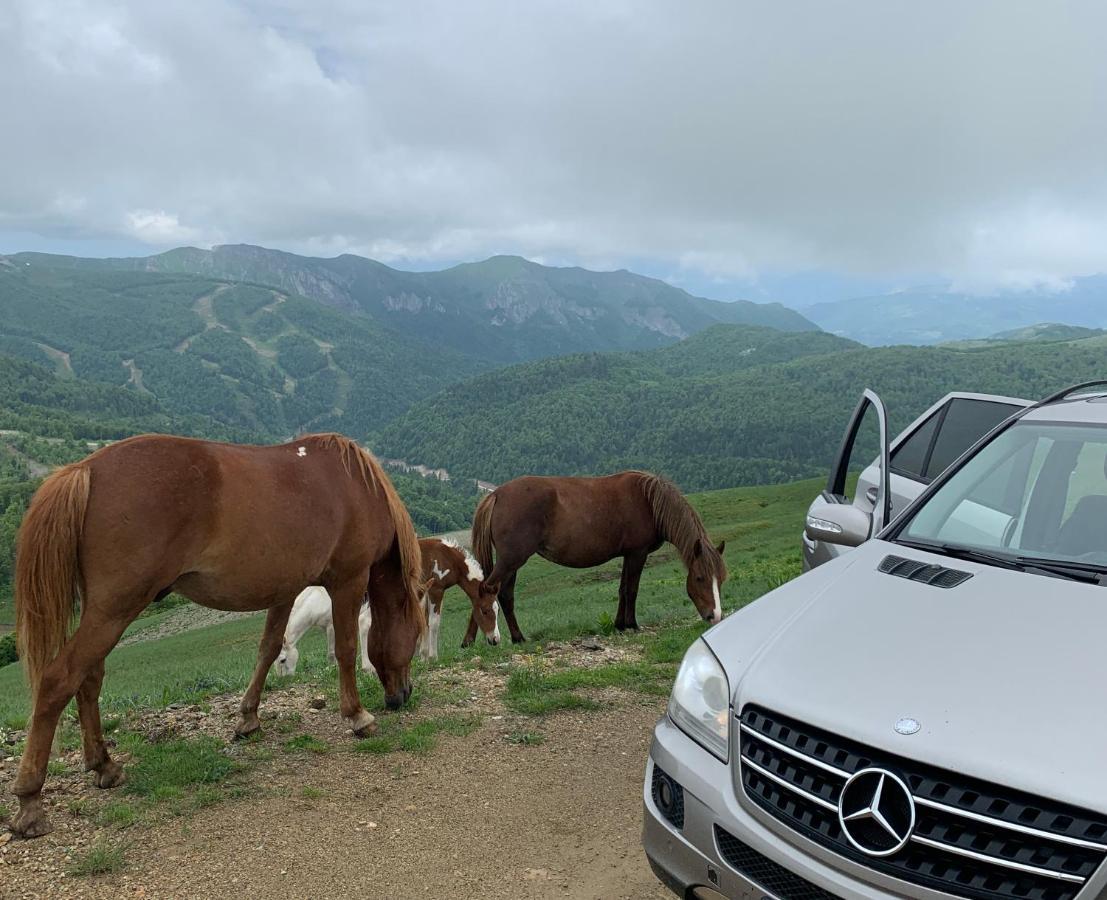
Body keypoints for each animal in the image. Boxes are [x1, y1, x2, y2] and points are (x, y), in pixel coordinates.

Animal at [10, 431, 425, 841]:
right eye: (417, 636)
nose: (403, 696)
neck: (354, 485)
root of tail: (85, 469)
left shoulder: (285, 590)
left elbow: (268, 649)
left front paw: (248, 719)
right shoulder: (348, 581)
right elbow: (346, 649)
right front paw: (357, 716)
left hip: (104, 612)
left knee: (89, 679)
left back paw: (104, 765)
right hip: (114, 609)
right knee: (59, 679)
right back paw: (30, 802)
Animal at [464, 471, 726, 646]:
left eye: (721, 580)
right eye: (700, 578)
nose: (715, 616)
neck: (647, 500)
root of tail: (496, 495)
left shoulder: (628, 555)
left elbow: (622, 589)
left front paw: (620, 624)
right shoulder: (637, 553)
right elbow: (632, 590)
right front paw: (632, 624)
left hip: (513, 562)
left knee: (504, 595)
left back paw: (516, 638)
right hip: (511, 560)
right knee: (486, 591)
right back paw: (479, 639)